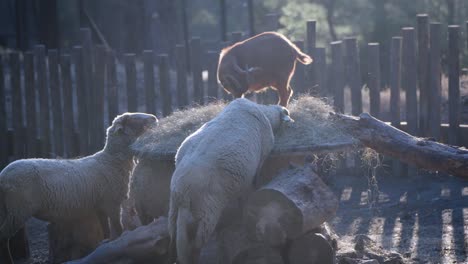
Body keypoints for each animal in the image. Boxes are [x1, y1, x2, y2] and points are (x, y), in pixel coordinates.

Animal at [0, 113, 157, 248]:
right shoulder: (111, 202)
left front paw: (105, 241)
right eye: (132, 119)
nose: (154, 118)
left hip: (8, 210)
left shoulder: (99, 205)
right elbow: (118, 229)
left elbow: (105, 230)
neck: (111, 161)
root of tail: (3, 175)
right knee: (3, 237)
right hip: (18, 210)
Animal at [168, 98, 292, 262]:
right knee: (197, 243)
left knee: (175, 238)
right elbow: (255, 180)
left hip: (174, 211)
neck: (265, 114)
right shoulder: (262, 156)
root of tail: (182, 191)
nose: (291, 122)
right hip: (208, 211)